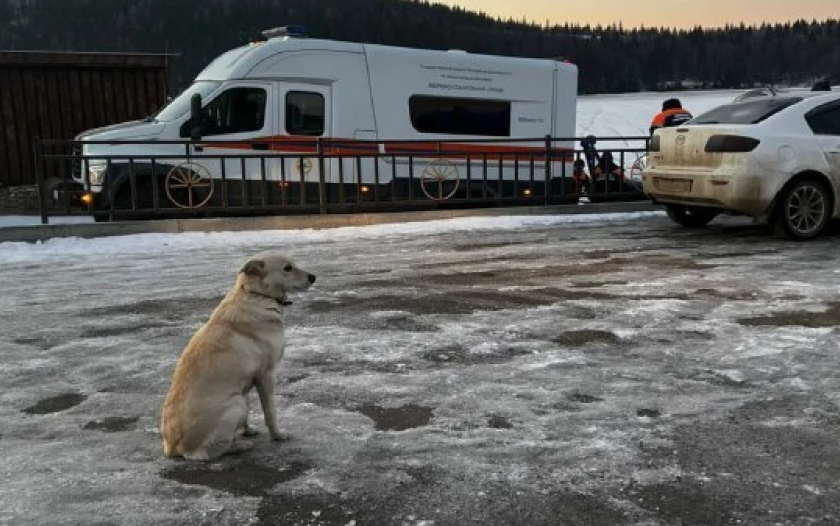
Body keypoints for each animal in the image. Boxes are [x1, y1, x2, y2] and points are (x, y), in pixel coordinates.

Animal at [160, 252, 316, 462]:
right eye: (287, 268)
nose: (313, 277)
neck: (256, 295)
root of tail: (172, 448)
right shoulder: (266, 375)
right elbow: (270, 413)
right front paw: (277, 435)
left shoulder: (247, 381)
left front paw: (247, 430)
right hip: (235, 405)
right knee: (206, 452)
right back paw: (239, 446)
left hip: (239, 399)